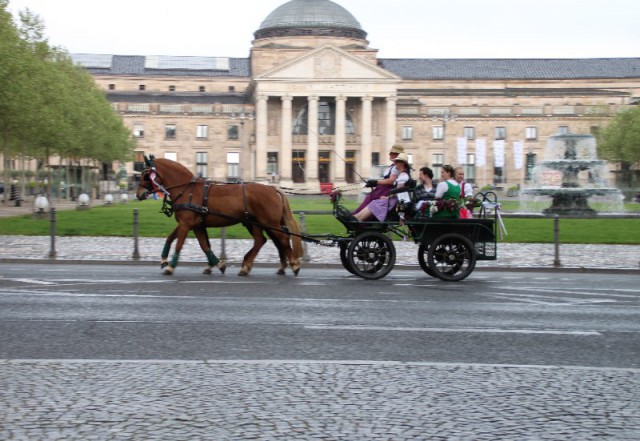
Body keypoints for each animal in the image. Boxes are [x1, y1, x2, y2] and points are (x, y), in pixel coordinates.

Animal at [136, 156, 302, 276]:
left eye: (146, 175)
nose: (138, 194)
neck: (187, 190)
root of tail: (272, 188)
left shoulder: (186, 224)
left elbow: (179, 244)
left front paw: (171, 266)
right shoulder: (195, 225)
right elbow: (200, 244)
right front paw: (216, 264)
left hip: (269, 223)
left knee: (282, 239)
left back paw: (293, 265)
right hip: (257, 223)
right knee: (263, 240)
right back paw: (251, 266)